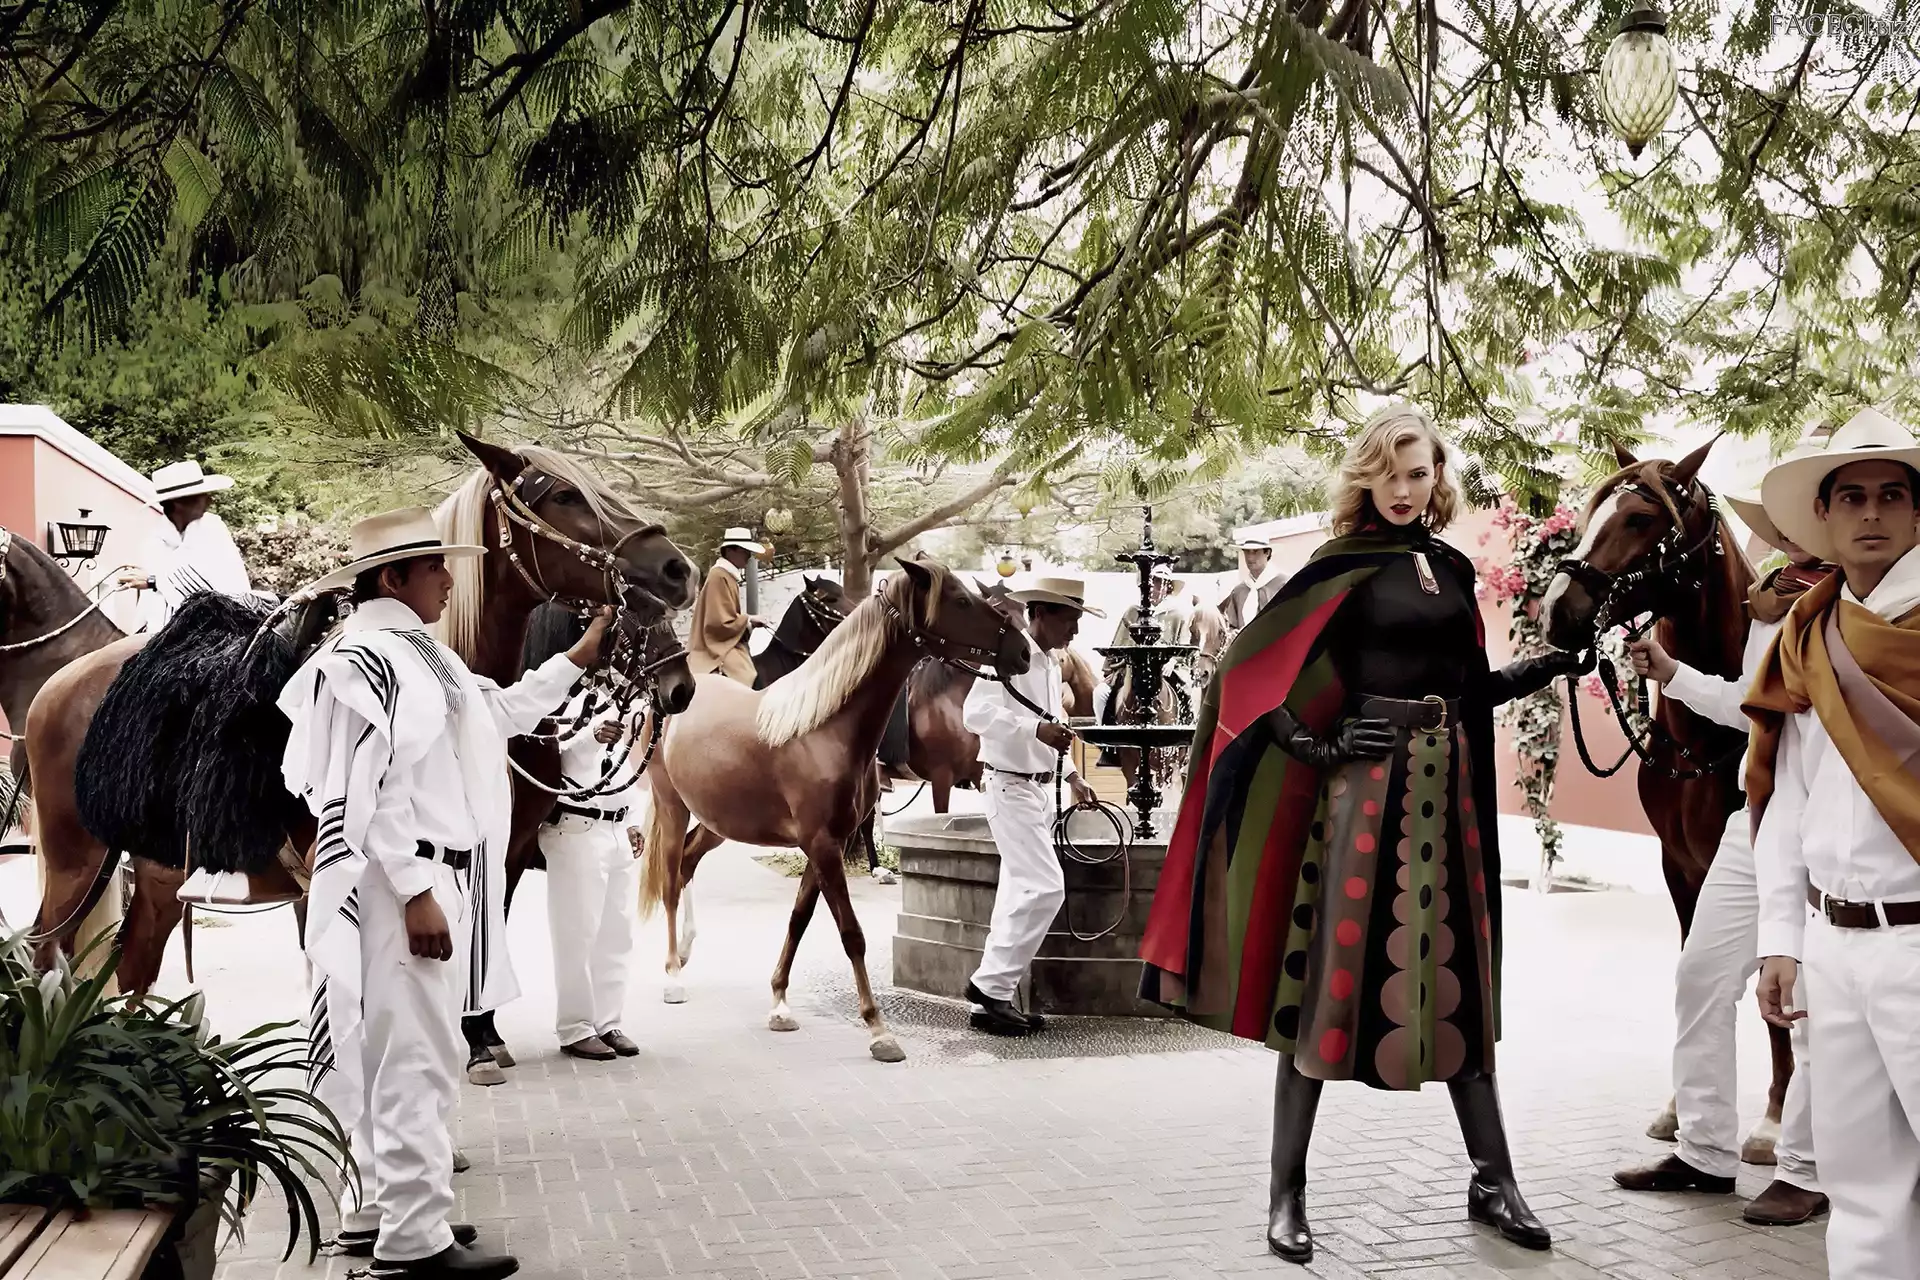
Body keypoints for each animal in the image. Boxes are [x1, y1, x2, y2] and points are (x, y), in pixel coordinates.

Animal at [24, 433, 696, 994]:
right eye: (563, 494)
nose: (676, 568)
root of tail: (56, 687)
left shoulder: (493, 863)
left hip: (156, 874)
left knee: (130, 972)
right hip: (73, 865)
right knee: (47, 957)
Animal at [637, 558, 1026, 1061]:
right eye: (961, 600)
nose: (1022, 652)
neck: (823, 728)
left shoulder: (828, 844)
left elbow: (799, 920)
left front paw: (780, 1004)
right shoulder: (822, 845)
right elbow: (851, 933)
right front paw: (879, 1030)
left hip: (717, 822)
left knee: (686, 865)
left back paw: (685, 953)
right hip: (673, 807)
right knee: (669, 880)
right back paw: (672, 974)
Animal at [1540, 438, 1788, 1160]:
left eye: (1641, 519)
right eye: (1594, 511)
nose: (1558, 612)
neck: (1708, 737)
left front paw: (1772, 1122)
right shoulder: (1682, 867)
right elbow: (1692, 972)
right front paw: (1679, 1108)